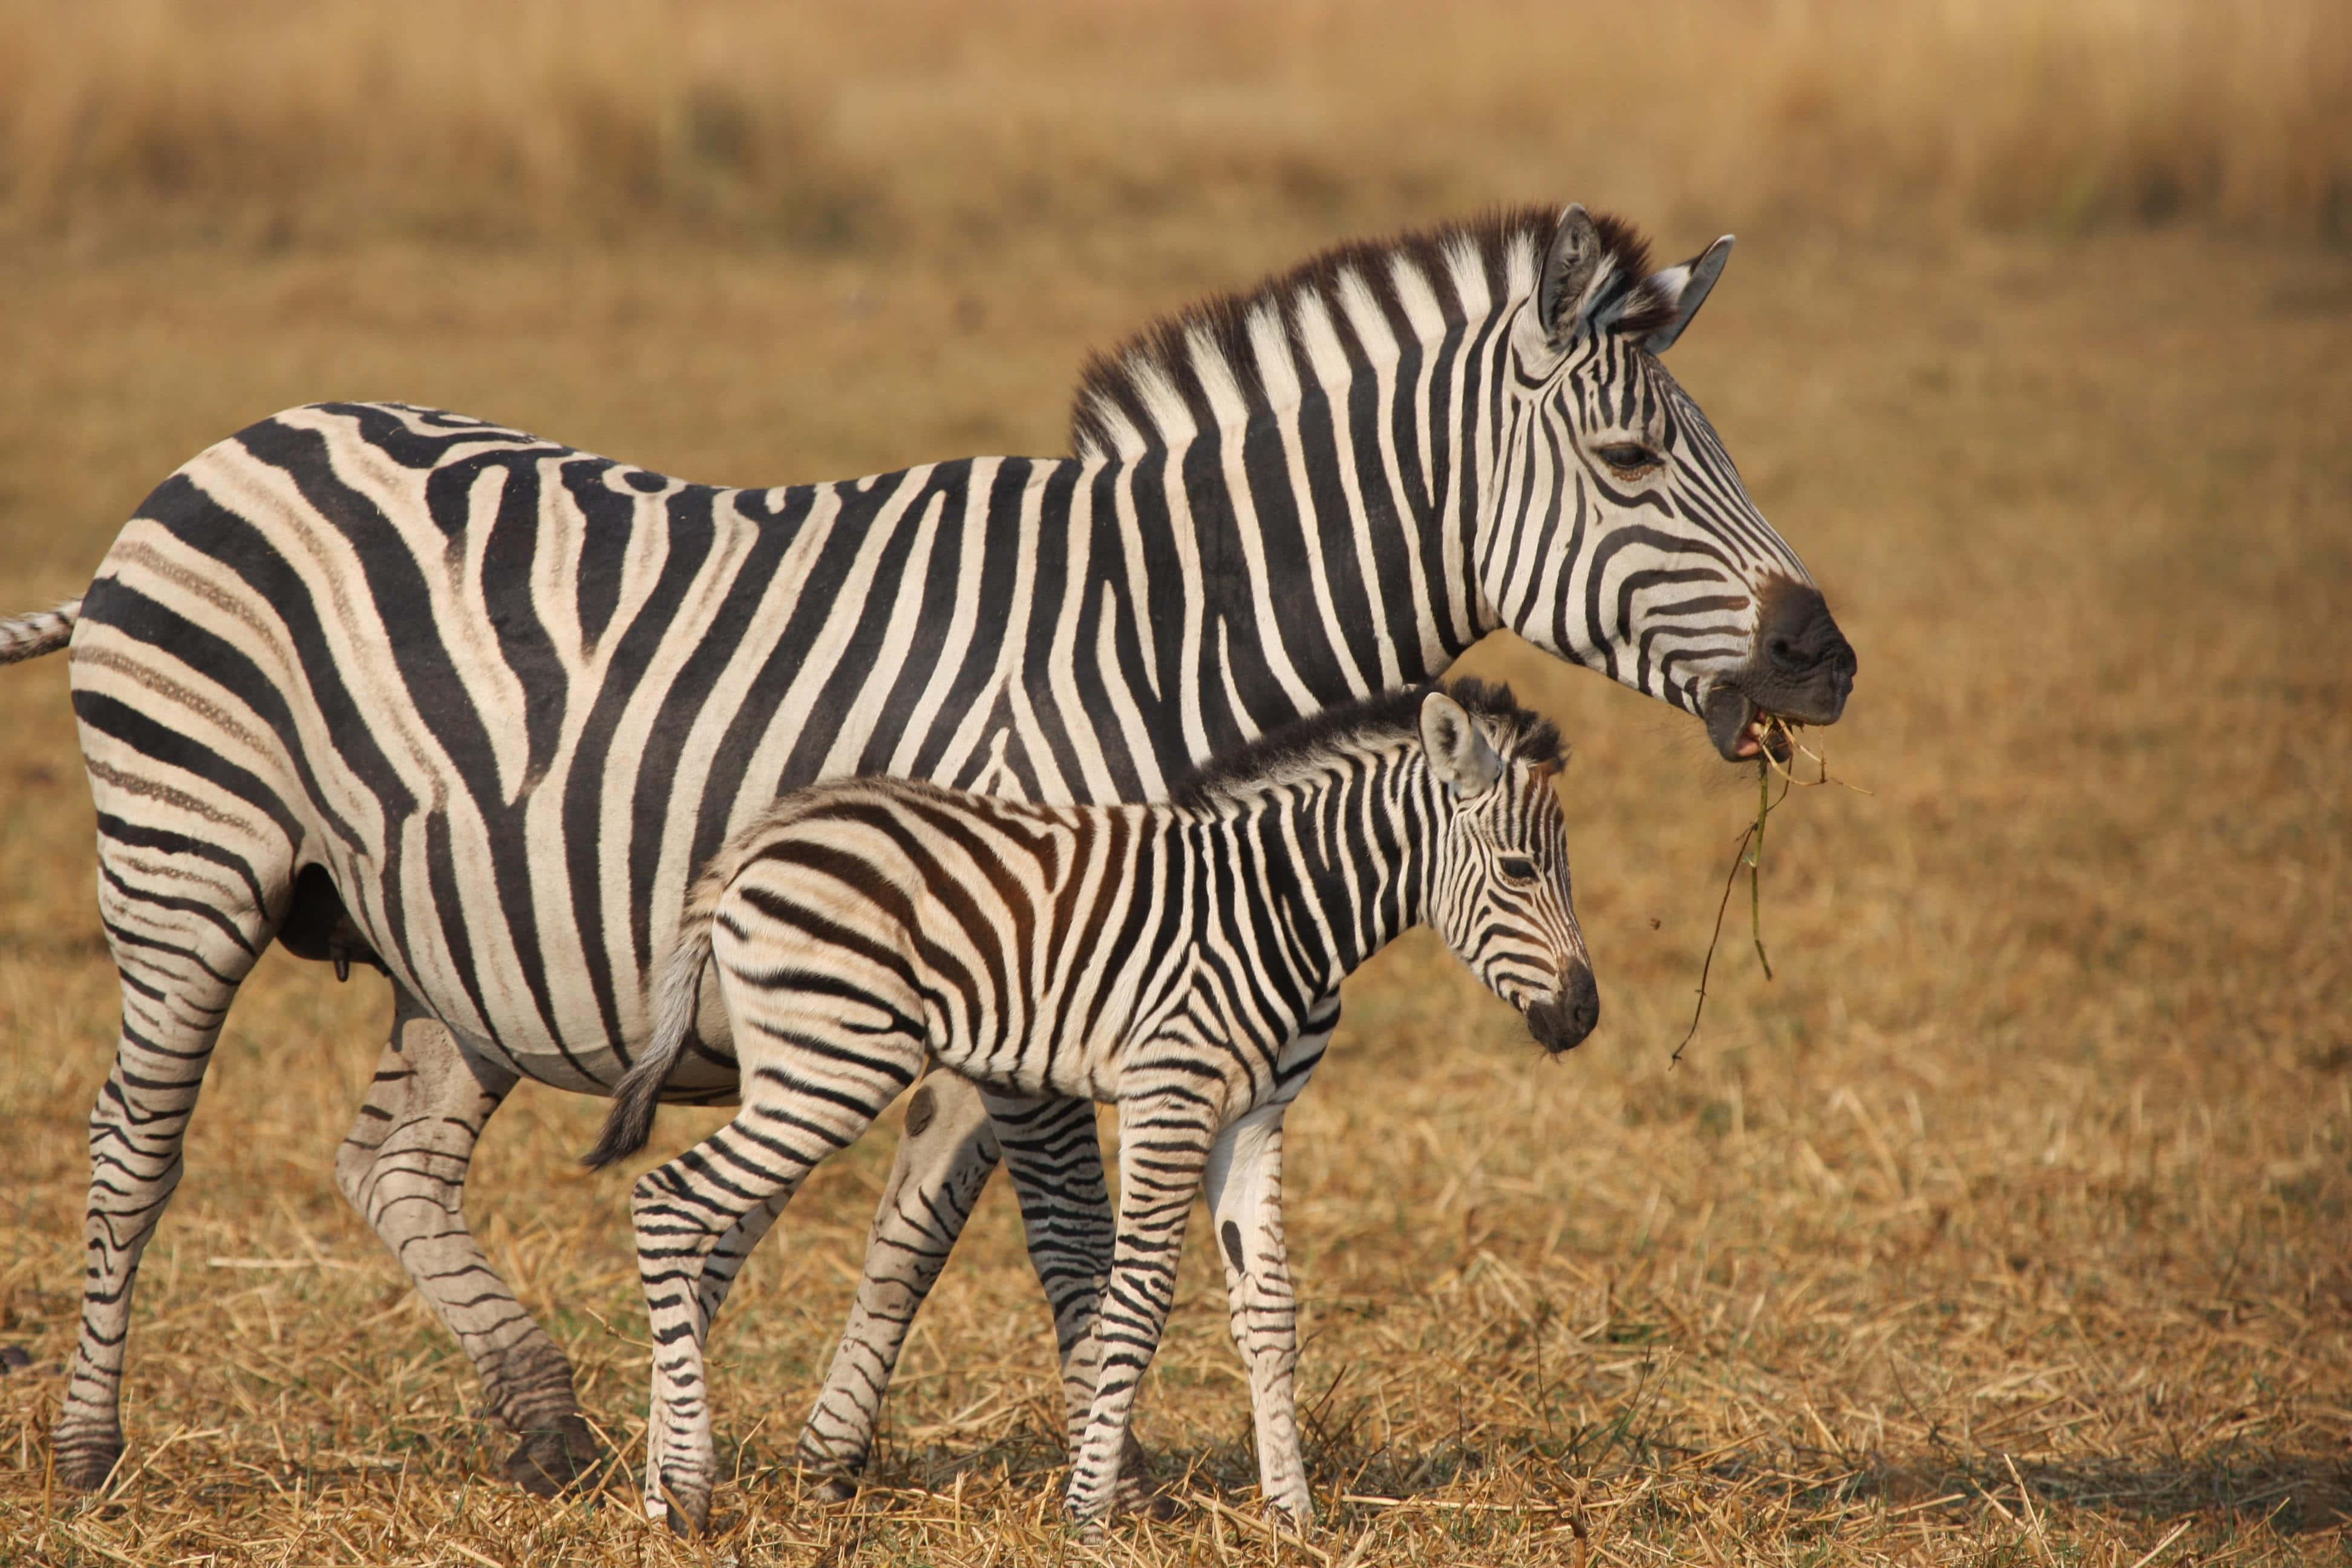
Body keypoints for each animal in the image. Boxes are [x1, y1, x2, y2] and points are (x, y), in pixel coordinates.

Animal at [588, 681, 1597, 1534]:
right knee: (667, 1204)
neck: (1280, 905)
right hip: (833, 1067)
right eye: (1519, 870)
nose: (1585, 1016)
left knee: (703, 1236)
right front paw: (1089, 1514)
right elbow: (1137, 1299)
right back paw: (687, 1491)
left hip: (799, 1070)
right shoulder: (1171, 1089)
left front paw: (1293, 1515)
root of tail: (752, 845)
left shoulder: (1255, 1117)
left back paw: (664, 1490)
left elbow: (1269, 1309)